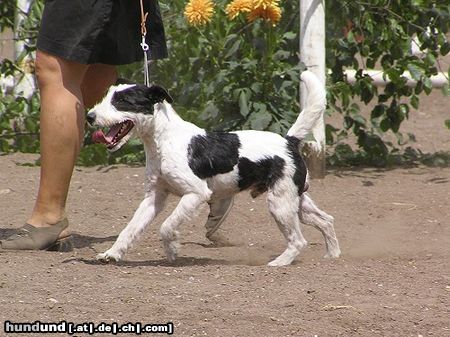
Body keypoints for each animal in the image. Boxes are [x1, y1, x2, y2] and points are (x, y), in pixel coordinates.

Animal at [88, 71, 340, 266]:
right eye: (107, 96)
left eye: (122, 101)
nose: (90, 116)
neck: (164, 141)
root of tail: (289, 140)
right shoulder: (154, 197)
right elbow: (130, 228)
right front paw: (111, 254)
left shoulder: (196, 193)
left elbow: (167, 226)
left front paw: (172, 250)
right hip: (296, 201)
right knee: (326, 220)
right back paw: (332, 255)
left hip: (280, 204)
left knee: (299, 240)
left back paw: (279, 263)